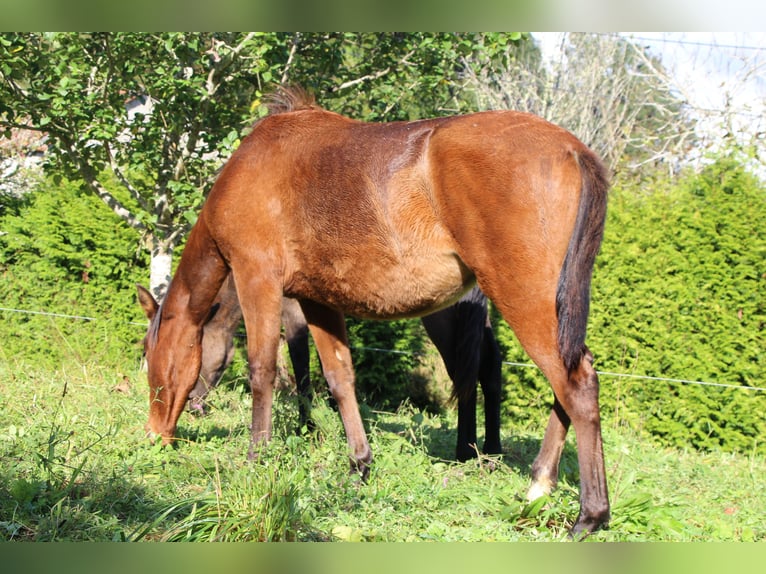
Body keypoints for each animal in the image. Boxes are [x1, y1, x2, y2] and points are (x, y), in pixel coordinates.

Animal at [142, 278, 508, 464]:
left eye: (188, 355)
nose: (194, 405)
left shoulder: (293, 312)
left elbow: (301, 365)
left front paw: (307, 426)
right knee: (491, 368)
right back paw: (490, 449)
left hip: (443, 321)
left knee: (464, 373)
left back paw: (465, 451)